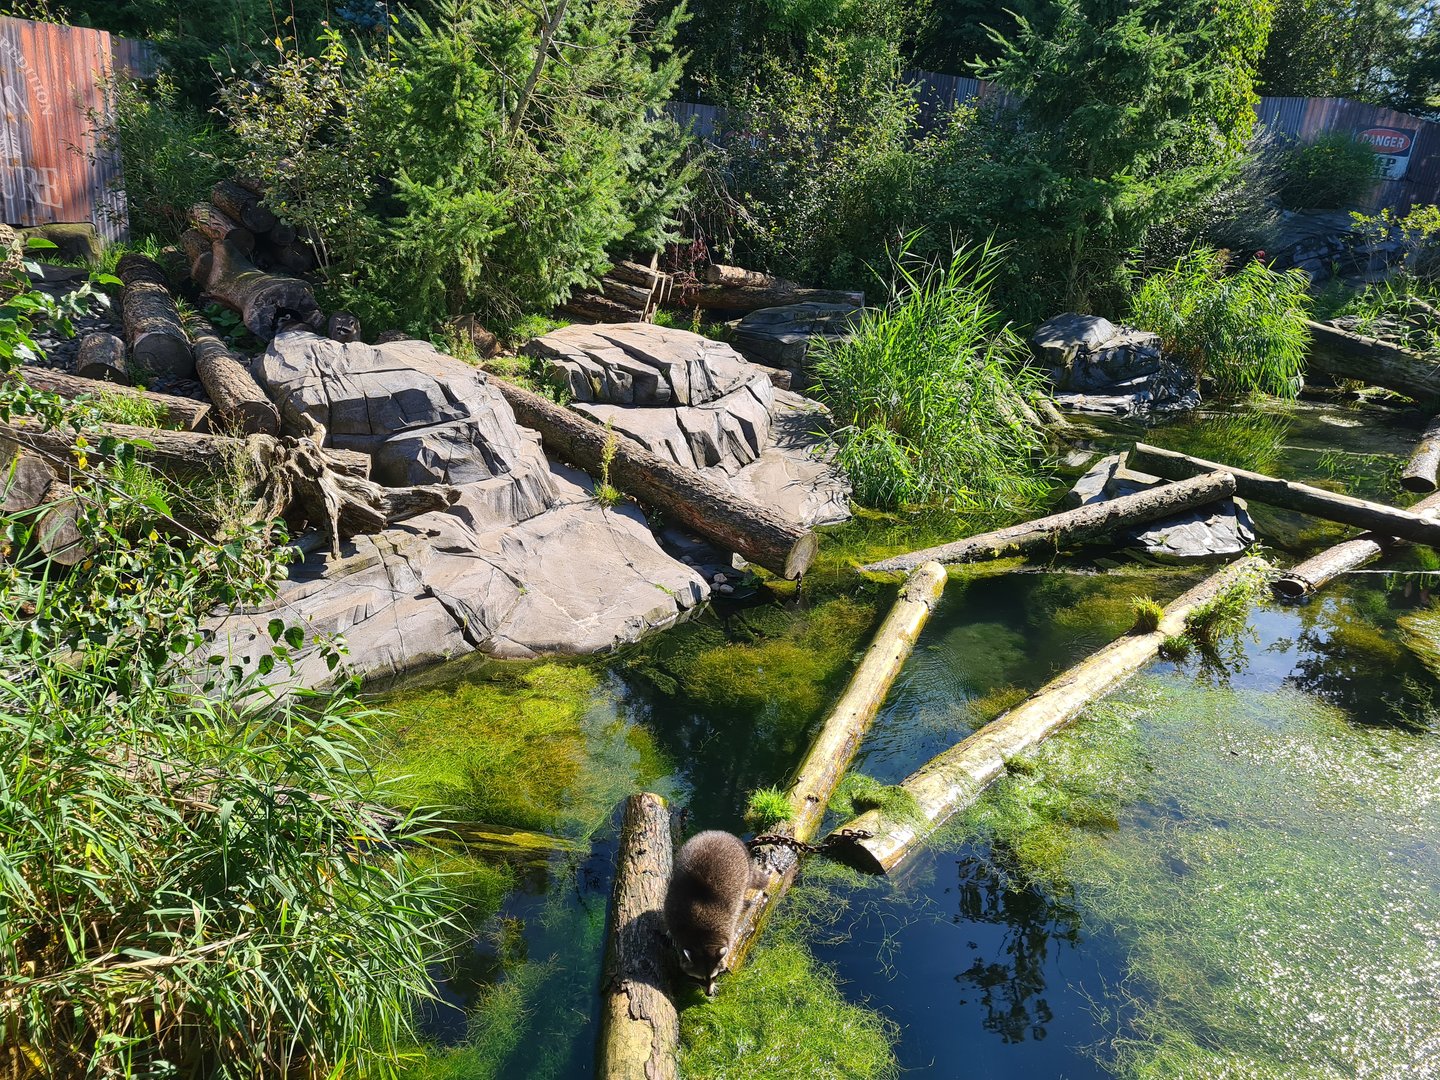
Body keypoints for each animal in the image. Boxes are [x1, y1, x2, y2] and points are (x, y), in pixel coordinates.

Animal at [664, 830, 766, 996]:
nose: (708, 993)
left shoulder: (728, 919)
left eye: (714, 976)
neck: (701, 938)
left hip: (744, 869)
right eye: (698, 978)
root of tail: (719, 833)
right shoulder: (673, 910)